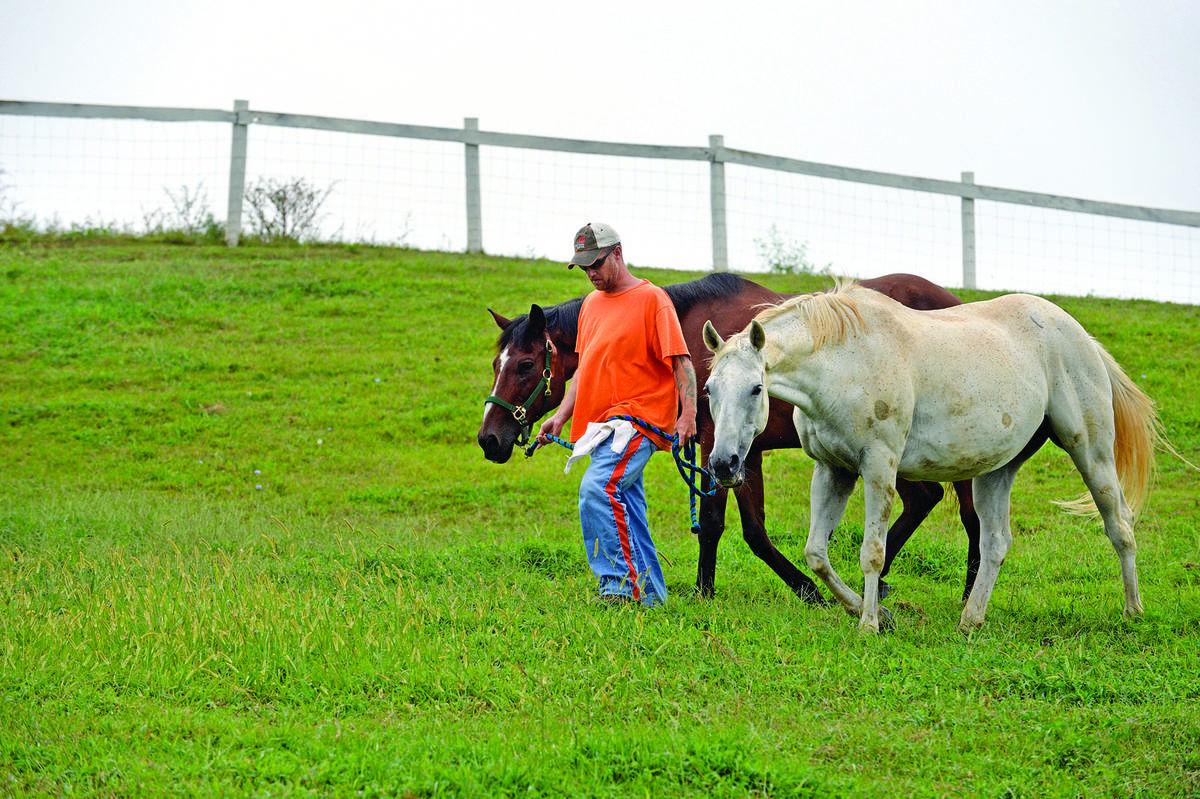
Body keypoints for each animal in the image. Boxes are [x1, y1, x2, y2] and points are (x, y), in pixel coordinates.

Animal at [479, 272, 982, 604]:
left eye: (525, 364)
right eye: (496, 363)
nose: (489, 439)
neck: (684, 334)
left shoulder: (722, 447)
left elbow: (727, 525)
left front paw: (801, 590)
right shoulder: (732, 453)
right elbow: (742, 529)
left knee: (969, 516)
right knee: (927, 500)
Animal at [702, 282, 1161, 632]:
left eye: (756, 389)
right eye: (709, 389)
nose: (723, 464)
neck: (846, 362)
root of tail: (1081, 337)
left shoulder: (878, 468)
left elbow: (873, 551)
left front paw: (869, 623)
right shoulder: (833, 470)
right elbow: (816, 553)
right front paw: (869, 610)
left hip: (1091, 451)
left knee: (1119, 526)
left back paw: (1132, 611)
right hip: (998, 470)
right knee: (995, 542)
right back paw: (970, 620)